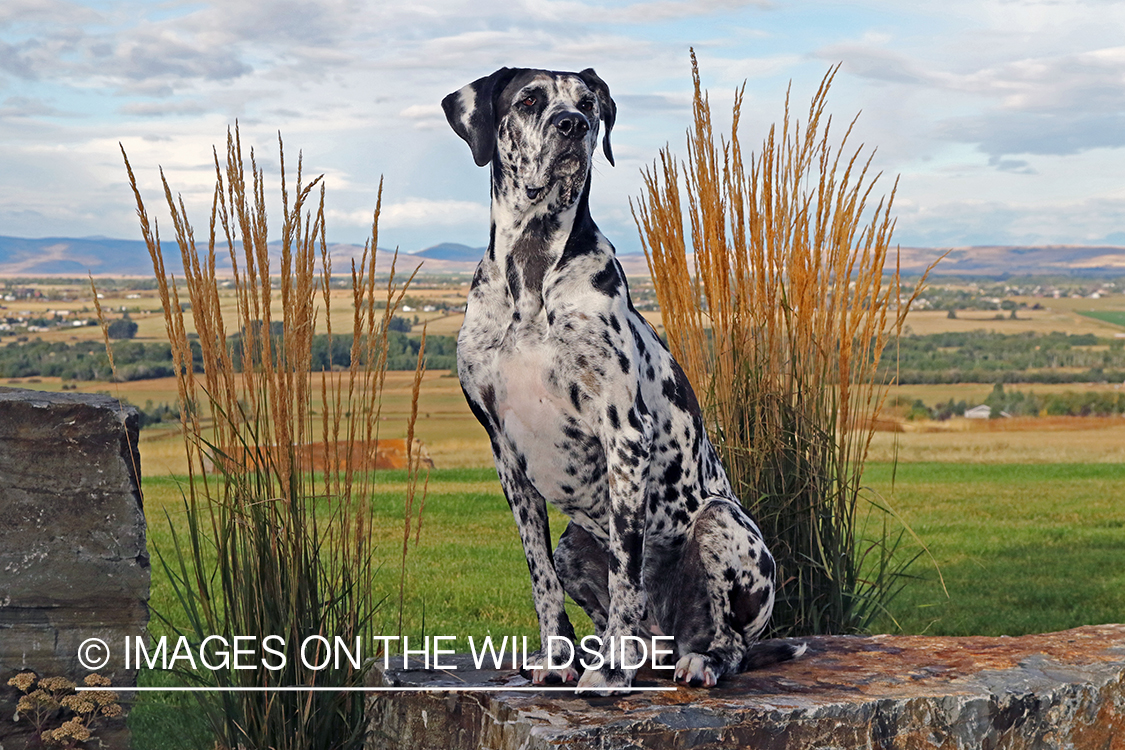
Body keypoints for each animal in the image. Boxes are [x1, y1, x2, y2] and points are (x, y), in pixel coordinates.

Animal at [438, 66, 801, 692]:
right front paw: (557, 658)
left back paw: (697, 660)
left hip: (723, 524)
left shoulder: (625, 434)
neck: (532, 267)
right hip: (574, 543)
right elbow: (540, 579)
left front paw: (609, 670)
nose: (572, 126)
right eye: (529, 99)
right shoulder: (505, 454)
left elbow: (626, 573)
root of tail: (668, 639)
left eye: (588, 104)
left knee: (730, 639)